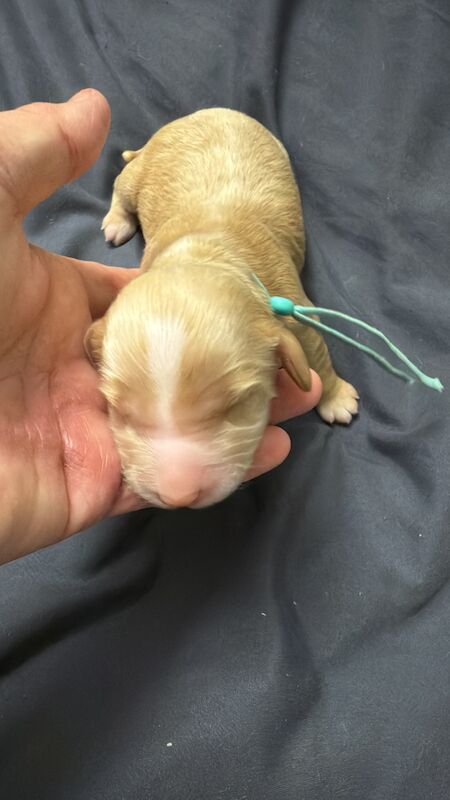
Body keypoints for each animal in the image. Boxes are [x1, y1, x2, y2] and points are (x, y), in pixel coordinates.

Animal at [85, 108, 358, 506]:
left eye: (235, 407)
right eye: (122, 413)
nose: (178, 495)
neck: (204, 252)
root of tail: (199, 114)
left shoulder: (292, 309)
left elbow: (316, 353)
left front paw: (336, 398)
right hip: (140, 174)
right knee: (121, 187)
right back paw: (118, 221)